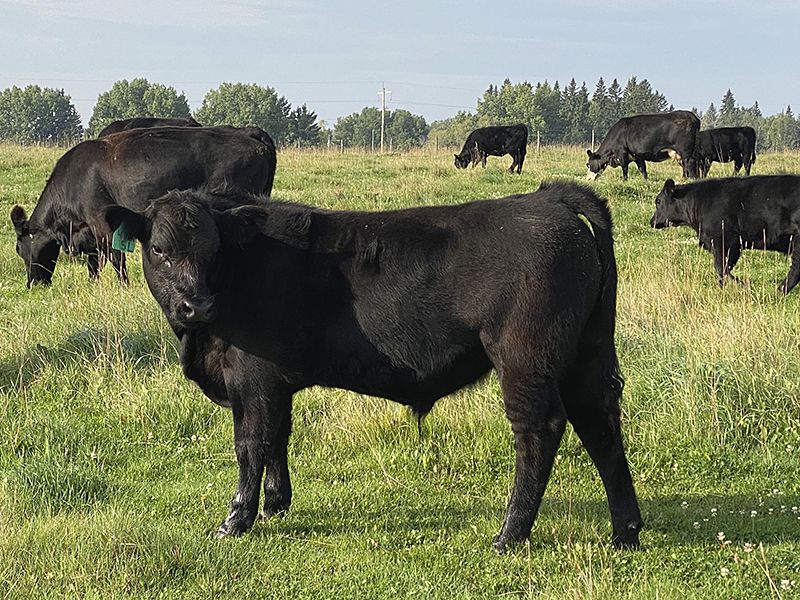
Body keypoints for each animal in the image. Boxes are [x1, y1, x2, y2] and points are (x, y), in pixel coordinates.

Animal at [9, 126, 277, 288]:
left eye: (19, 249)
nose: (32, 285)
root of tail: (249, 131)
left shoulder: (102, 222)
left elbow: (115, 257)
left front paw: (123, 286)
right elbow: (94, 262)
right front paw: (93, 285)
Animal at [100, 181, 643, 552]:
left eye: (213, 251)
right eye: (160, 249)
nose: (197, 305)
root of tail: (548, 198)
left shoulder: (252, 379)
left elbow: (250, 445)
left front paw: (237, 519)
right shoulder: (274, 384)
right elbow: (278, 437)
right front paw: (276, 505)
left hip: (526, 360)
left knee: (540, 431)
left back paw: (510, 533)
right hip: (585, 354)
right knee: (601, 425)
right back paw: (626, 530)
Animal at [650, 176, 800, 293]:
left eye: (658, 201)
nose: (652, 221)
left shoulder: (723, 242)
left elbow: (721, 268)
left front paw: (740, 286)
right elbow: (724, 269)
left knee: (795, 269)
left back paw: (779, 292)